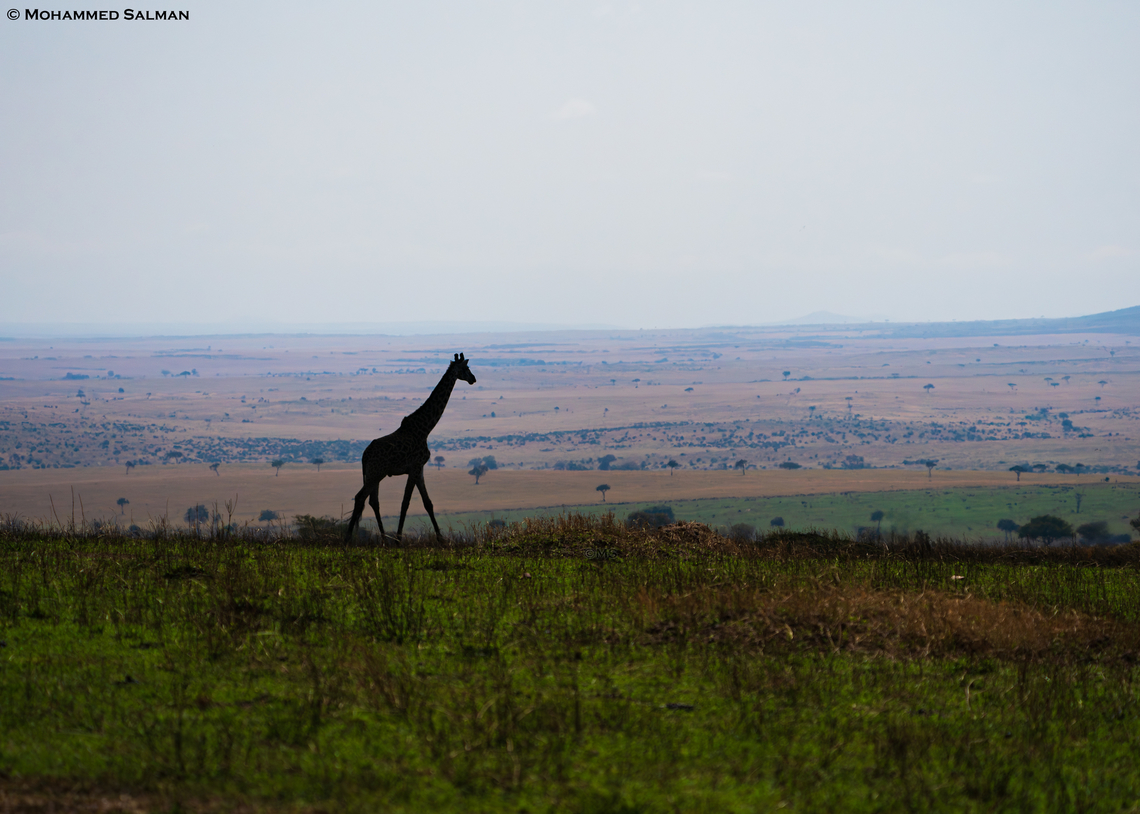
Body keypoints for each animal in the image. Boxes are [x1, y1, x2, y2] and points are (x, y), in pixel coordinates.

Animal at [344, 353, 476, 542]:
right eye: (466, 368)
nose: (473, 379)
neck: (425, 428)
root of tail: (365, 455)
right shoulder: (414, 467)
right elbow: (405, 503)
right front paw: (399, 539)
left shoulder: (419, 469)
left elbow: (428, 503)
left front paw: (441, 538)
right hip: (376, 473)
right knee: (360, 497)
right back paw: (348, 537)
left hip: (373, 474)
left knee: (373, 501)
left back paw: (384, 539)